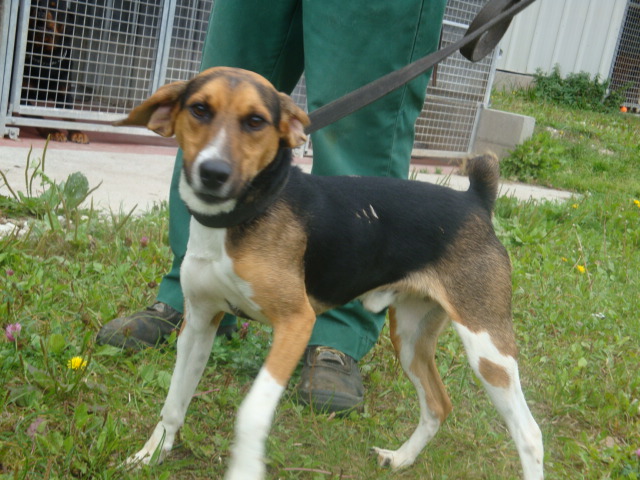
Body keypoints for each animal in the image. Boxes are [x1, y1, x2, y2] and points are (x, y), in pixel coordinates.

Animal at [21, 0, 89, 143]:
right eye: (34, 4)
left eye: (54, 6)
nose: (41, 9)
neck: (46, 58)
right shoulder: (22, 96)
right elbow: (36, 117)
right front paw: (53, 131)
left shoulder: (63, 94)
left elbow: (69, 115)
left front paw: (77, 132)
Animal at [116, 67, 544, 480]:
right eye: (199, 110)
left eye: (256, 121)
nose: (213, 172)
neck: (240, 216)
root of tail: (475, 199)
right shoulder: (200, 324)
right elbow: (174, 402)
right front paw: (151, 454)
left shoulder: (296, 323)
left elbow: (252, 412)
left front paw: (244, 468)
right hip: (409, 338)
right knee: (438, 405)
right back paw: (401, 458)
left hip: (488, 349)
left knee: (530, 433)